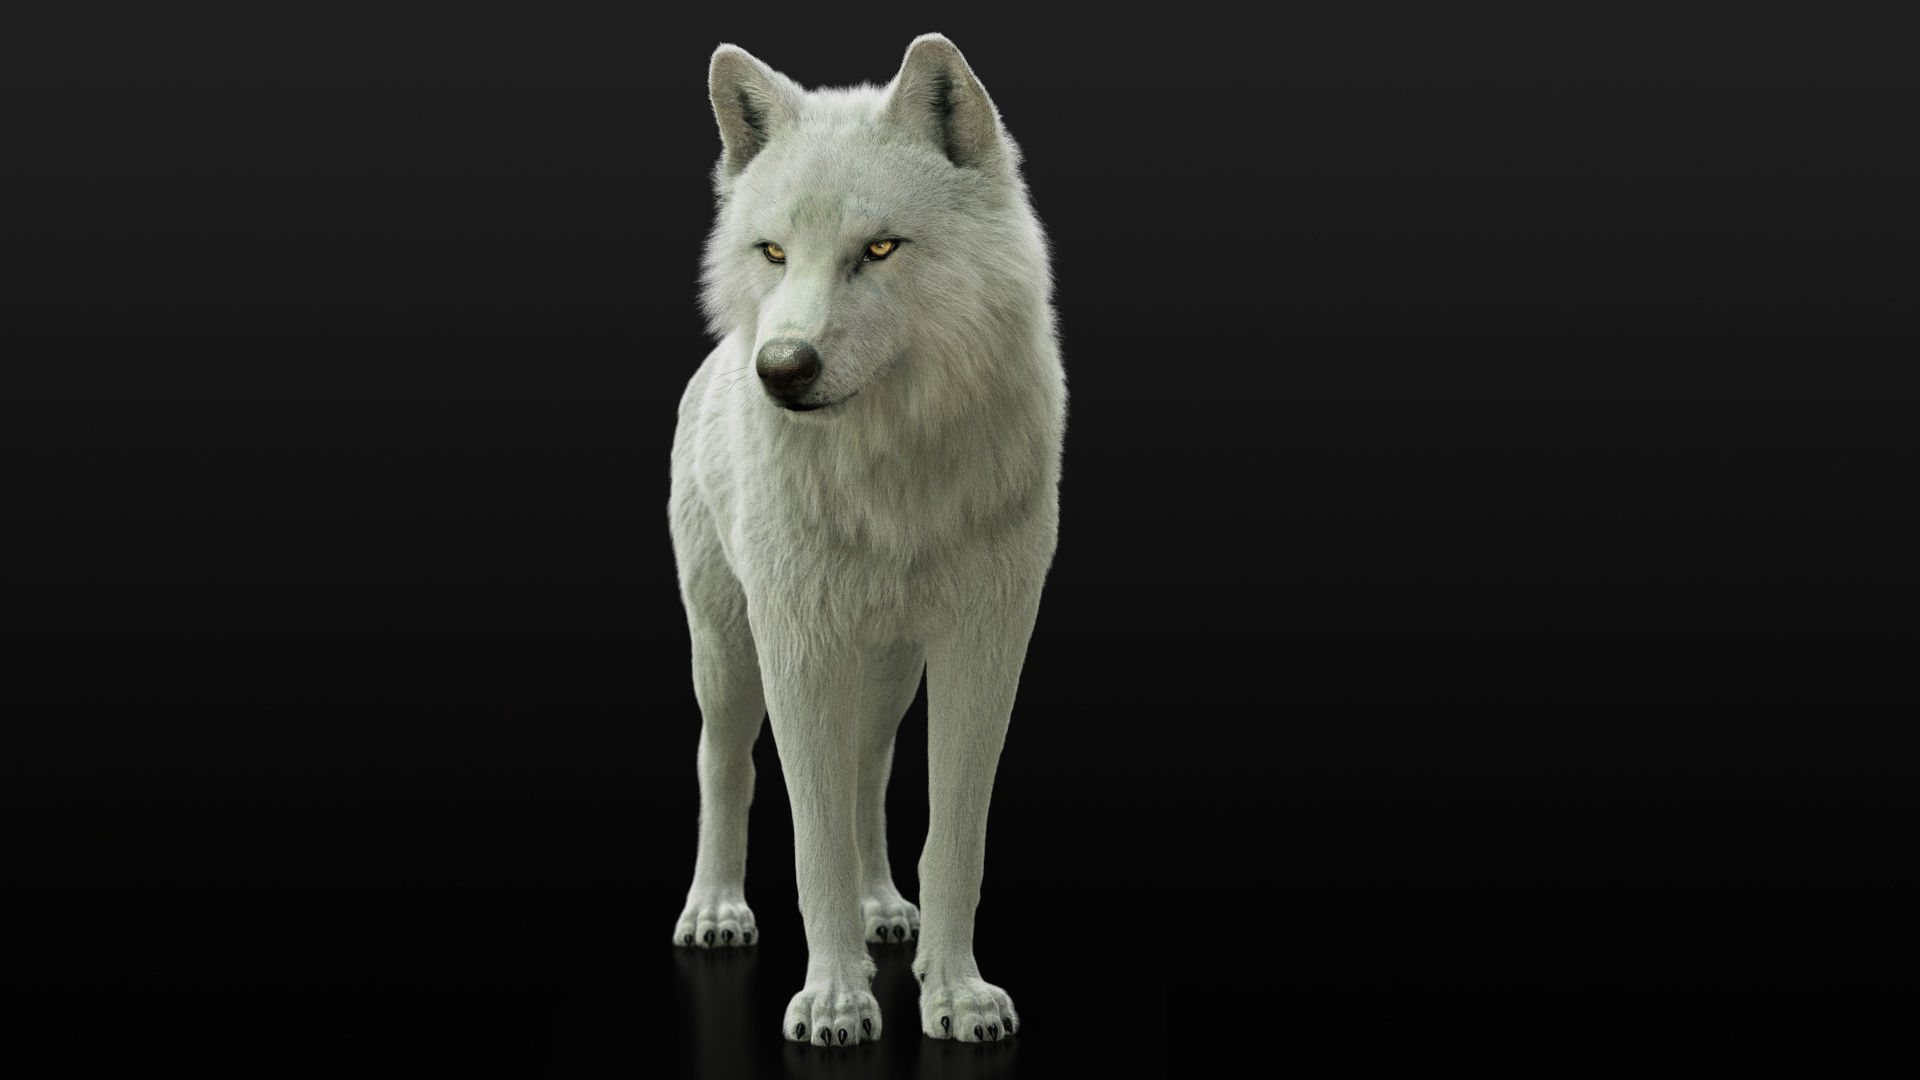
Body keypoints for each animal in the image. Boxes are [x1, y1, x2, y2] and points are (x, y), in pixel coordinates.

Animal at [667, 33, 1064, 1047]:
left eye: (879, 248)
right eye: (773, 252)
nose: (779, 369)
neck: (895, 478)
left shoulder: (986, 645)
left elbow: (952, 836)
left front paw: (955, 992)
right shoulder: (798, 648)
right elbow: (812, 846)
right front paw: (837, 1002)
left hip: (885, 674)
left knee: (866, 776)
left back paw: (886, 910)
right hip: (728, 651)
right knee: (724, 764)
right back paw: (715, 910)